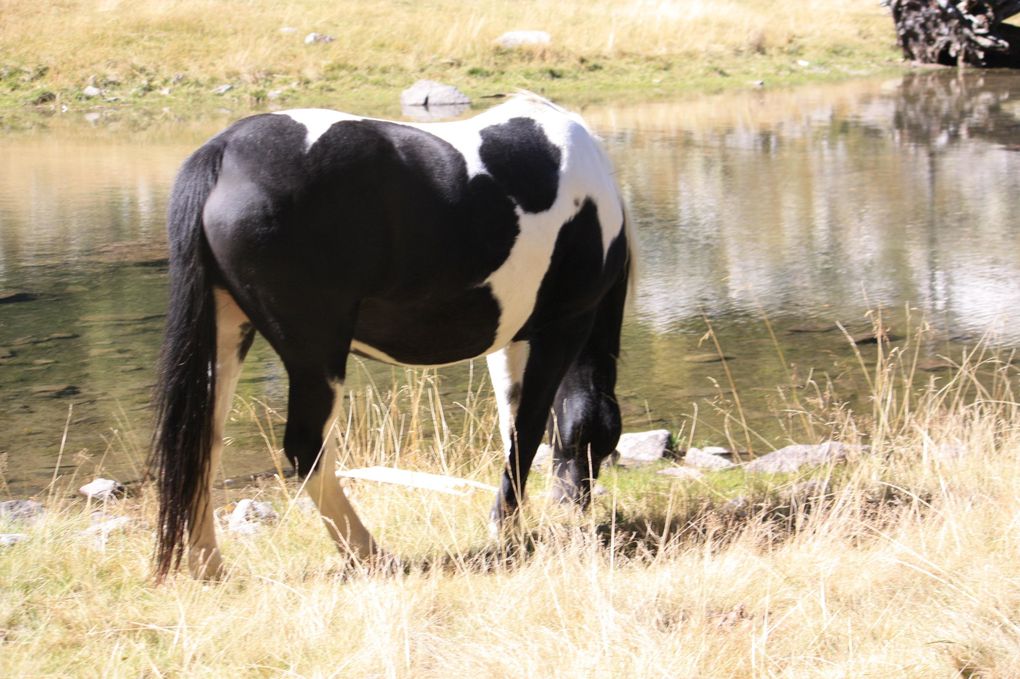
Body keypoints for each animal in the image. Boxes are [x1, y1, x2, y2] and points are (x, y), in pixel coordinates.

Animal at [151, 93, 632, 575]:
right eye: (601, 442)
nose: (575, 505)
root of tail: (223, 154)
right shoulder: (562, 327)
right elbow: (531, 427)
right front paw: (508, 528)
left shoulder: (513, 339)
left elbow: (511, 423)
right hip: (316, 353)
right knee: (307, 448)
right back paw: (370, 553)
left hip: (227, 334)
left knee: (202, 442)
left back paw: (209, 566)